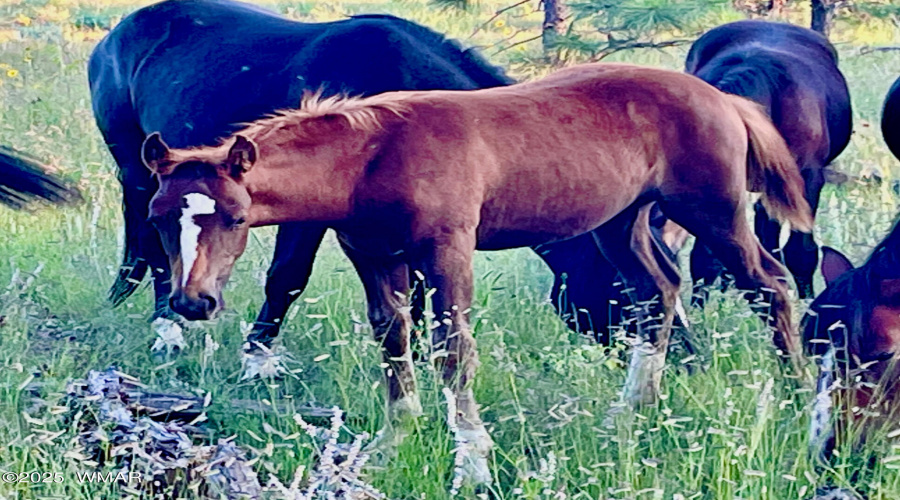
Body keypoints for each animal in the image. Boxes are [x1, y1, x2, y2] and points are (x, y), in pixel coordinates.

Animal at [89, 0, 620, 356]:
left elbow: (420, 296)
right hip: (138, 168)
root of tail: (115, 36)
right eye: (621, 280)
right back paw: (165, 327)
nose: (637, 348)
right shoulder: (303, 212)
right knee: (154, 248)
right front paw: (256, 356)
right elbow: (286, 279)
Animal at [141, 62, 816, 480]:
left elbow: (452, 350)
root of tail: (723, 98)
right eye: (157, 216)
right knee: (661, 291)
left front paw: (472, 461)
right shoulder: (376, 256)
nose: (193, 302)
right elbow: (393, 339)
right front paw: (394, 443)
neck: (374, 157)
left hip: (713, 210)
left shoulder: (448, 250)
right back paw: (632, 411)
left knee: (770, 285)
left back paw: (800, 397)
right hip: (620, 222)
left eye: (233, 217)